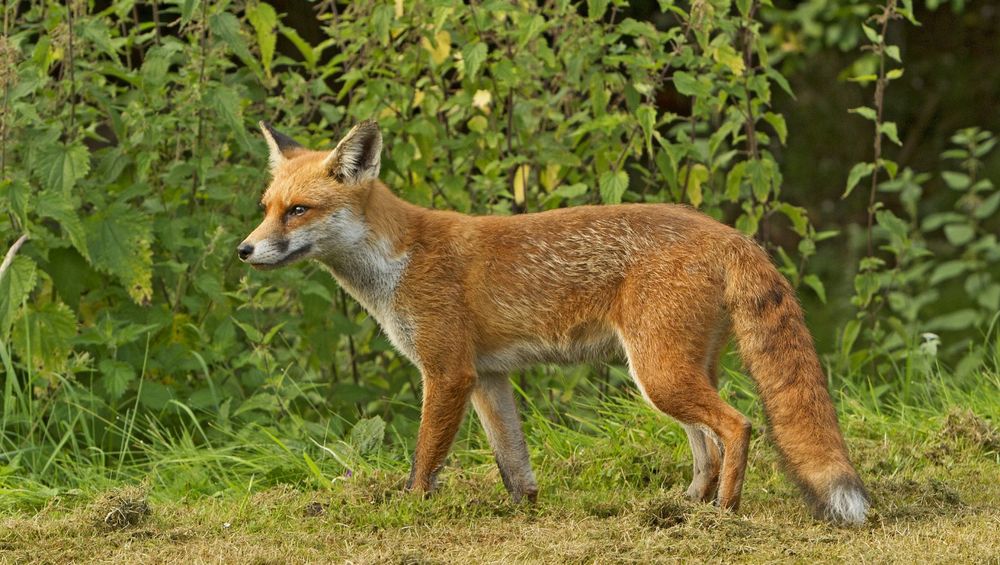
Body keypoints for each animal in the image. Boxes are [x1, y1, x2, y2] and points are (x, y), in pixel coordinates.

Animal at [238, 119, 869, 524]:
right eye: (266, 208)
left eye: (299, 211)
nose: (244, 250)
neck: (400, 259)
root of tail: (726, 231)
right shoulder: (488, 378)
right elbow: (513, 463)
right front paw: (525, 513)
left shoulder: (447, 373)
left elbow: (424, 461)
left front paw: (408, 513)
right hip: (674, 374)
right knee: (707, 447)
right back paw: (682, 508)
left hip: (659, 374)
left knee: (737, 427)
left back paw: (724, 517)